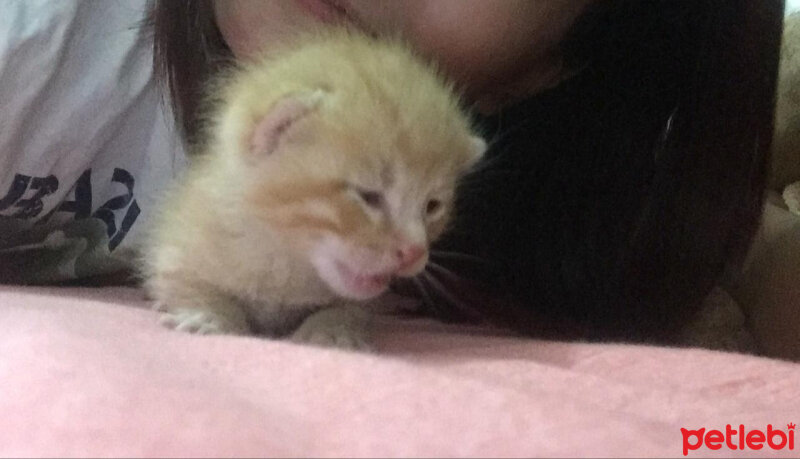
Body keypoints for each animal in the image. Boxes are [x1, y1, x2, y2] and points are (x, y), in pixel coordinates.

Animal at [141, 28, 484, 350]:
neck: (284, 257)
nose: (414, 252)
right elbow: (186, 283)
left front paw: (332, 329)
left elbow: (351, 307)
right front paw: (207, 316)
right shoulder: (178, 245)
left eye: (432, 206)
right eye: (369, 196)